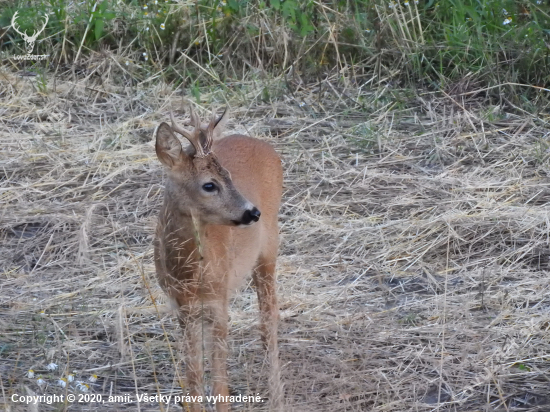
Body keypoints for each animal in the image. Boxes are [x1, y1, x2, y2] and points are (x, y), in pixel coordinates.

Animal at [154, 107, 284, 412]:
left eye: (229, 176)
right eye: (209, 185)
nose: (252, 212)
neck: (190, 274)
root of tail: (260, 142)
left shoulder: (219, 301)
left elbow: (220, 384)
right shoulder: (183, 309)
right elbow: (193, 381)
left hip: (268, 248)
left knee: (269, 319)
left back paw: (277, 398)